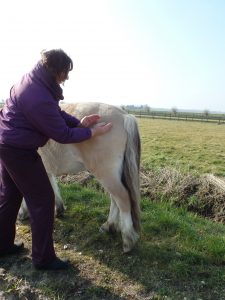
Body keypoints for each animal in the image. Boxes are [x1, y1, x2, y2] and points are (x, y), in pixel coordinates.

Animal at [19, 102, 142, 252]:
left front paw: (23, 212)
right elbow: (54, 188)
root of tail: (124, 115)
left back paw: (128, 239)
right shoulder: (47, 169)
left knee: (122, 198)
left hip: (106, 173)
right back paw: (109, 226)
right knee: (115, 199)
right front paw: (59, 209)